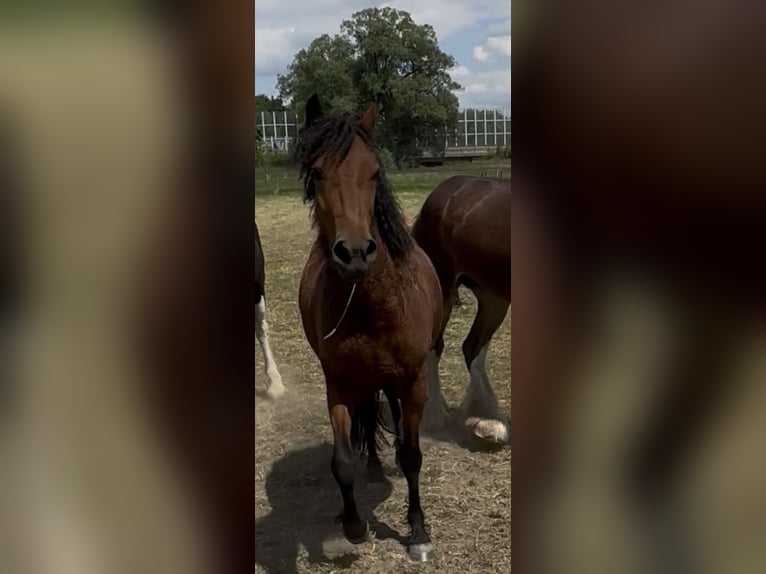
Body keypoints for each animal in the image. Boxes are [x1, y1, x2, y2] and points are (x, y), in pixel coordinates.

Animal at [296, 94, 442, 562]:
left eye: (374, 173)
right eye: (317, 173)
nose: (356, 253)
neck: (373, 308)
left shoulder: (413, 381)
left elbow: (412, 455)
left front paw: (418, 532)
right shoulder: (339, 384)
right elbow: (342, 461)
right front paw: (354, 524)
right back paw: (375, 469)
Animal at [411, 176, 511, 444]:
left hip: (493, 297)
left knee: (472, 347)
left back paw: (488, 421)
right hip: (443, 291)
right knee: (435, 346)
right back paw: (436, 417)